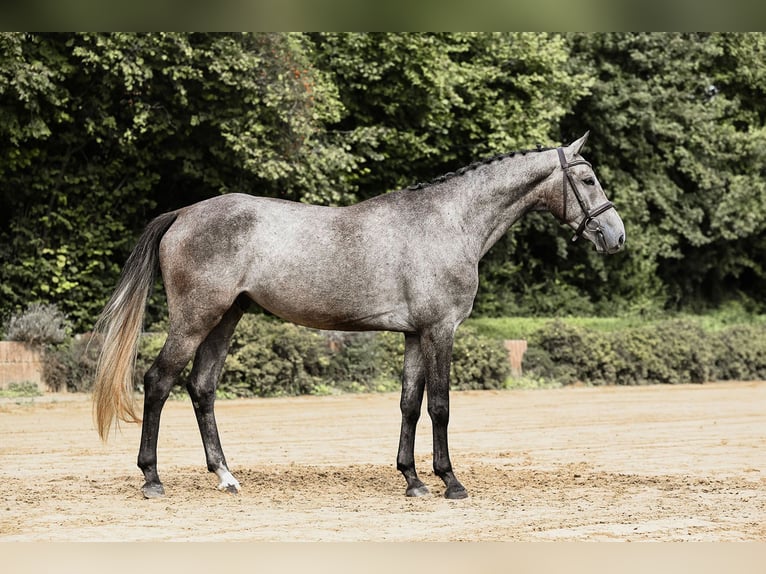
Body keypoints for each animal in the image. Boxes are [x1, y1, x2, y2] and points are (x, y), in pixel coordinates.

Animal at [93, 132, 625, 499]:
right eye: (587, 179)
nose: (616, 236)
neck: (449, 221)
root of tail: (183, 214)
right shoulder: (440, 331)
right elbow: (440, 406)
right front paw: (450, 482)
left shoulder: (415, 334)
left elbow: (410, 404)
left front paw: (412, 480)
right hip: (195, 319)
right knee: (158, 381)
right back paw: (152, 478)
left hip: (226, 318)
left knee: (201, 387)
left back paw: (225, 475)